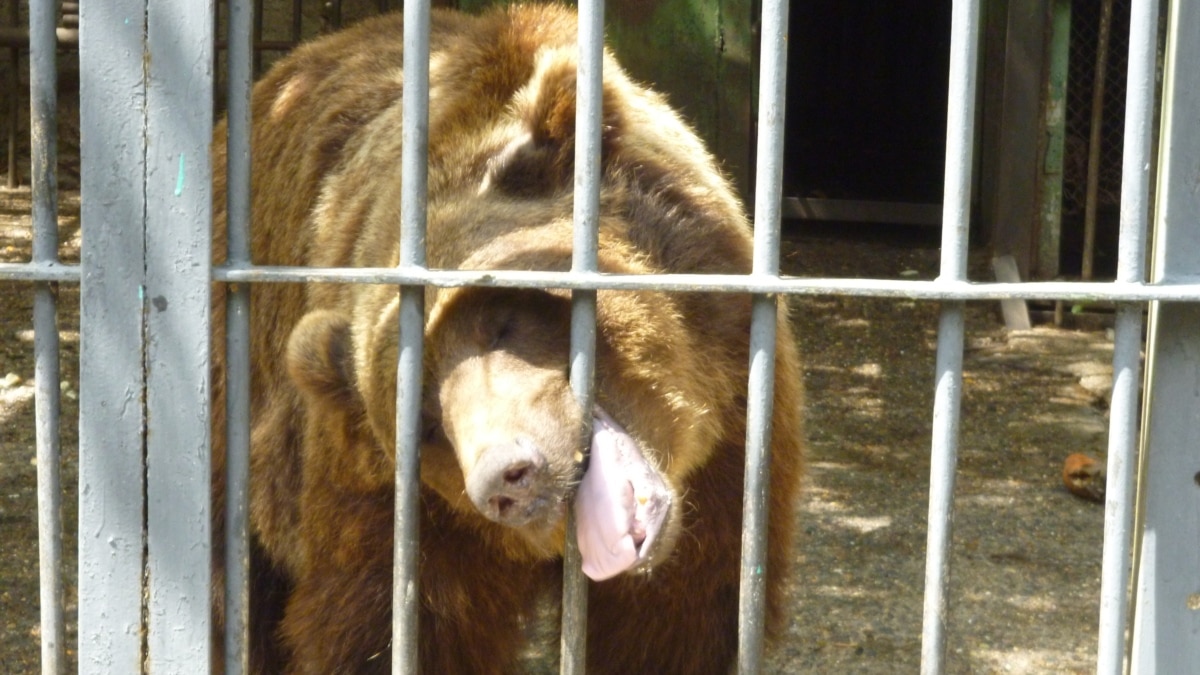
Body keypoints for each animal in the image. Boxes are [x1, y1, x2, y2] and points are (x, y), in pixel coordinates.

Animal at [208, 3, 806, 667]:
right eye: (426, 420)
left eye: (502, 320)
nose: (506, 477)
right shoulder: (398, 515)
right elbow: (384, 629)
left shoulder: (734, 450)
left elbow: (678, 625)